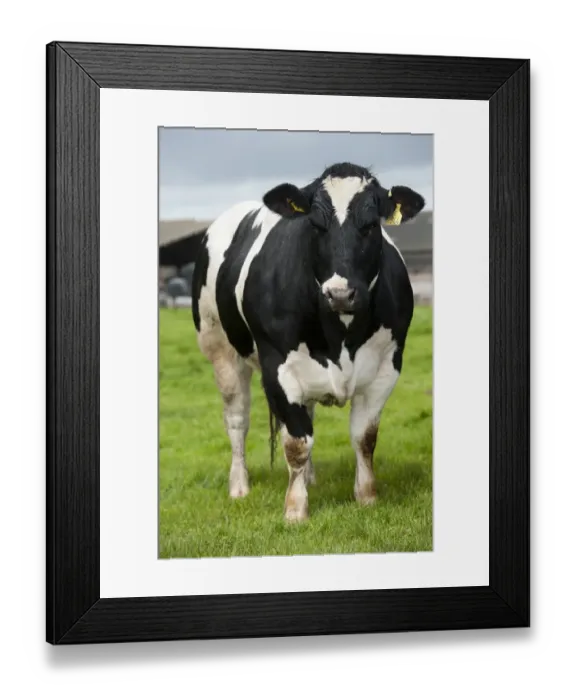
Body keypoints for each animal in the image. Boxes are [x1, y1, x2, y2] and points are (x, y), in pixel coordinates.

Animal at [191, 162, 425, 523]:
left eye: (371, 224)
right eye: (315, 224)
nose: (340, 293)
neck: (340, 336)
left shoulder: (387, 365)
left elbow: (364, 436)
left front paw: (367, 496)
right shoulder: (278, 368)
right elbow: (296, 442)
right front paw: (295, 509)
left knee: (308, 413)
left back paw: (310, 478)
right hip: (220, 351)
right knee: (237, 419)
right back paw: (240, 486)